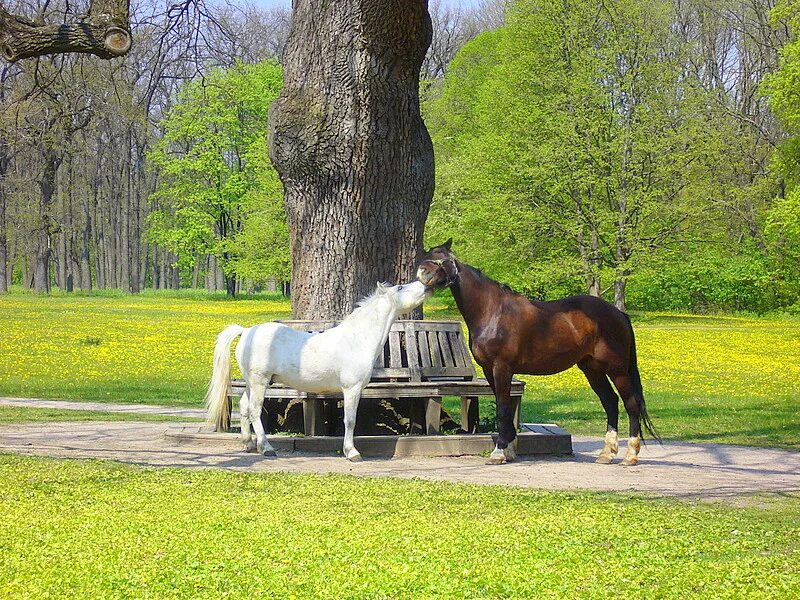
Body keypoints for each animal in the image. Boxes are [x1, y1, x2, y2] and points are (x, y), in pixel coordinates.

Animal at [205, 282, 432, 460]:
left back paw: (249, 444)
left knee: (244, 407)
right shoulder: (352, 389)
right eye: (400, 287)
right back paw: (266, 448)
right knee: (254, 410)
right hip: (260, 381)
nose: (425, 285)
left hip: (254, 383)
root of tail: (246, 331)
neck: (357, 339)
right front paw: (352, 452)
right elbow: (350, 420)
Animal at [416, 239, 660, 464]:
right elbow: (504, 406)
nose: (422, 273)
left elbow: (502, 408)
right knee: (610, 402)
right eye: (427, 255)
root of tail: (618, 314)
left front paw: (499, 452)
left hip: (617, 369)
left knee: (631, 404)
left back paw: (630, 455)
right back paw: (606, 454)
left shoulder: (502, 367)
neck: (492, 311)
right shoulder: (489, 370)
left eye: (442, 259)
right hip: (592, 369)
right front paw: (509, 450)